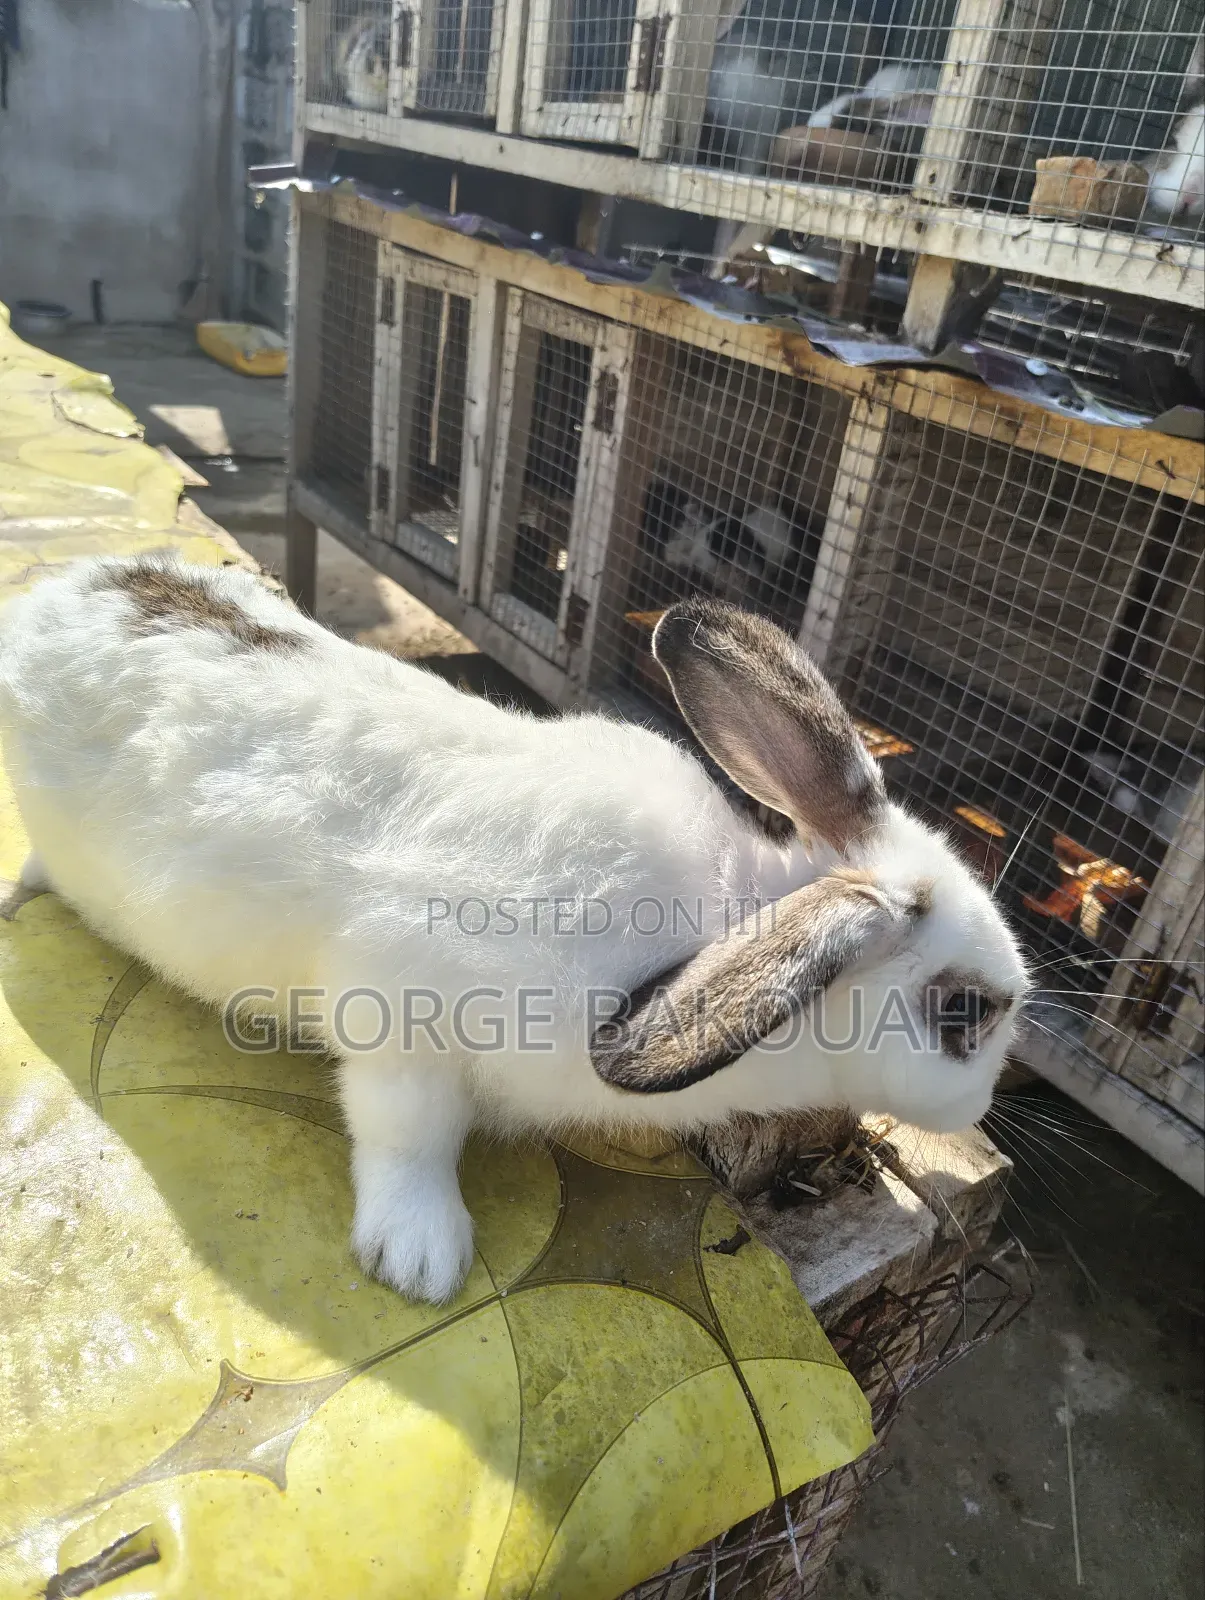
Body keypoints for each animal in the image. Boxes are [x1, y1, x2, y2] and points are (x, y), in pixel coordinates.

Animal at [0, 557, 1028, 1304]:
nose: (979, 1107)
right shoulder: (400, 1015)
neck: (720, 922)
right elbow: (407, 1135)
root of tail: (55, 598)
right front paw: (420, 1257)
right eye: (963, 1013)